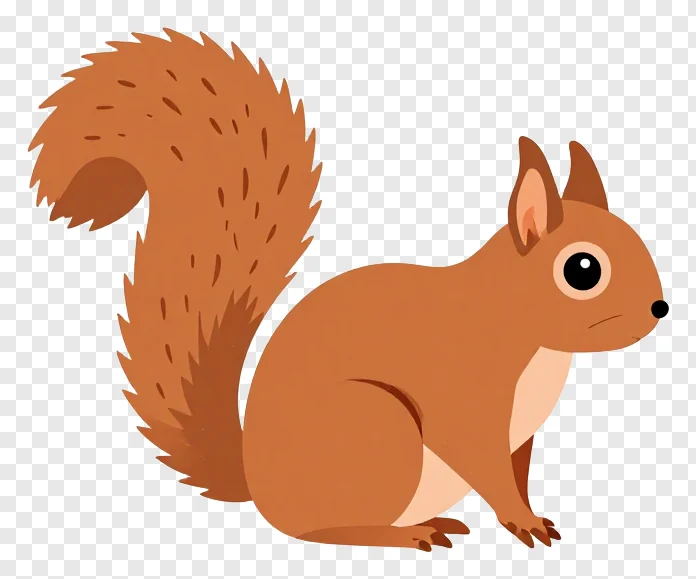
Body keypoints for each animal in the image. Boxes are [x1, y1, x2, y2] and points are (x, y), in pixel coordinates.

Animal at [29, 30, 668, 551]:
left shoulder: (519, 436)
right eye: (582, 270)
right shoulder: (467, 402)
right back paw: (407, 534)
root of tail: (259, 486)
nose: (660, 309)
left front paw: (531, 514)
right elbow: (481, 463)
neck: (520, 329)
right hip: (376, 433)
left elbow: (516, 471)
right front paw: (521, 521)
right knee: (320, 530)